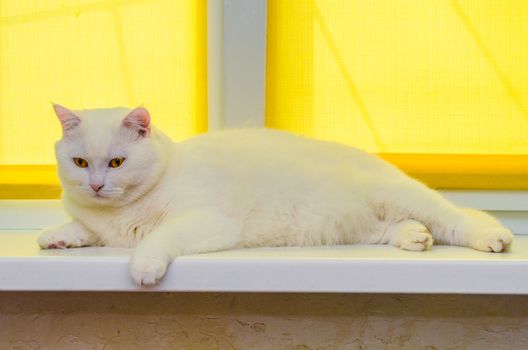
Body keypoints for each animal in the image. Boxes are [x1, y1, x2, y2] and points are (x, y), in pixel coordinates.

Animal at [38, 104, 516, 284]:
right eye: (80, 163)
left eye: (117, 162)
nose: (97, 185)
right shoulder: (101, 226)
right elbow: (82, 227)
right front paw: (56, 237)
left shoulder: (204, 223)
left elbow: (155, 239)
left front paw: (143, 266)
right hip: (359, 226)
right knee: (400, 228)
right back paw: (415, 236)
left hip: (405, 196)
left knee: (457, 219)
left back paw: (493, 237)